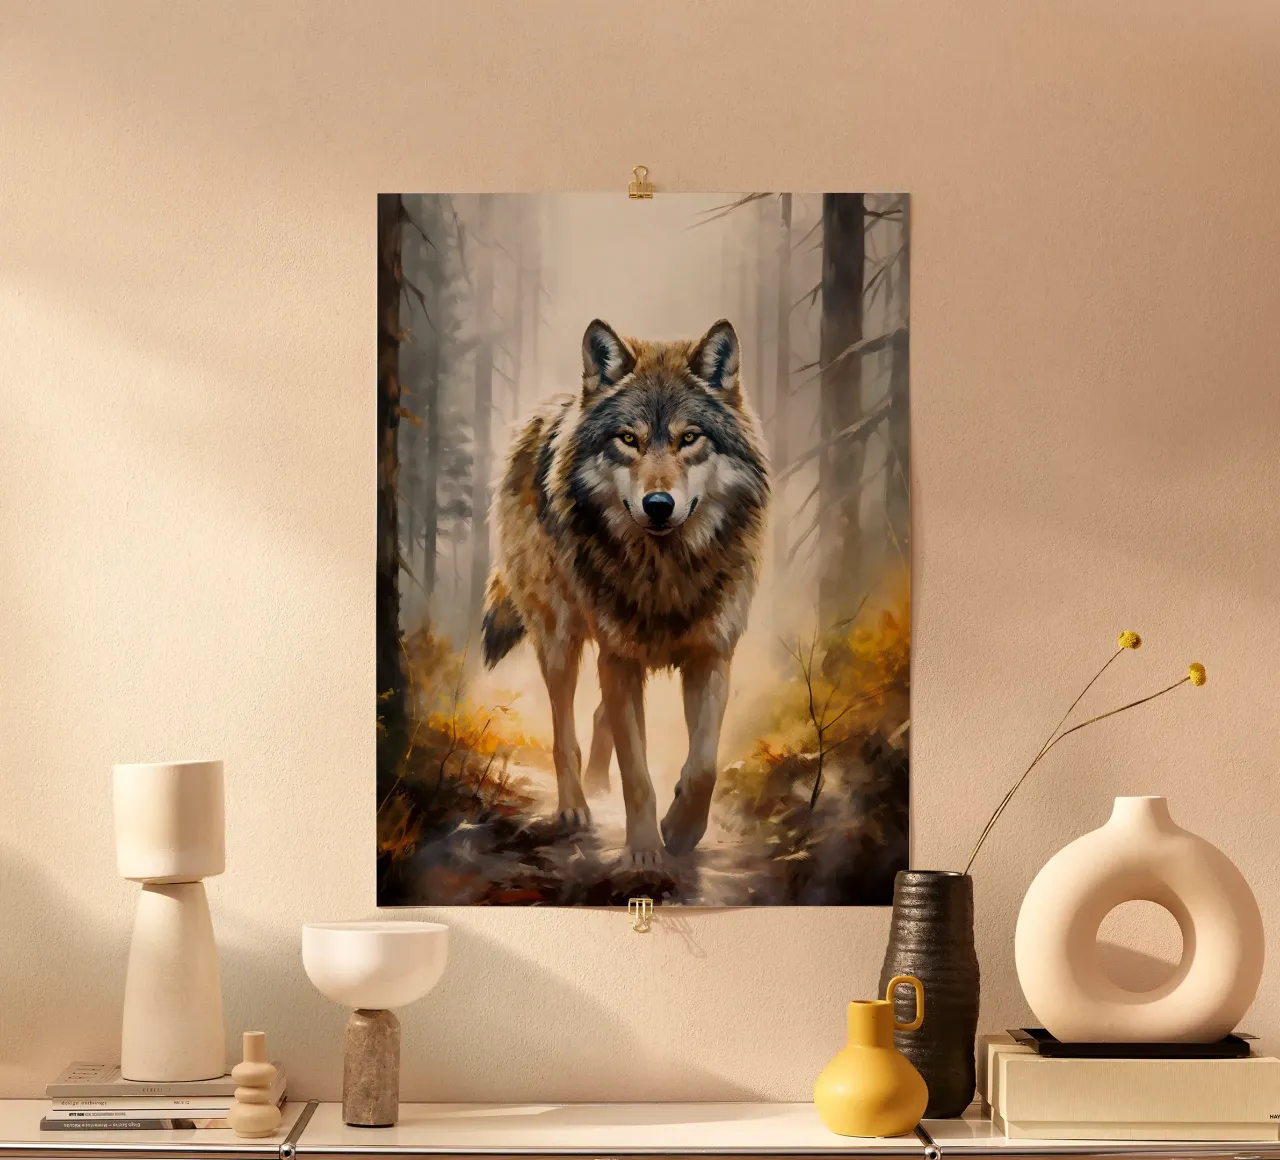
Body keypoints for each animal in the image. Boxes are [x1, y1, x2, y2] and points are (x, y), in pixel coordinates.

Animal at [480, 318, 770, 865]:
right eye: (628, 439)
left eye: (689, 438)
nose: (658, 504)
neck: (665, 572)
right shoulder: (619, 657)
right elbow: (636, 771)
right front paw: (644, 852)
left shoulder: (711, 654)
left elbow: (703, 767)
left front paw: (680, 830)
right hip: (560, 639)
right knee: (565, 732)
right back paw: (575, 806)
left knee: (599, 717)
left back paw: (598, 785)